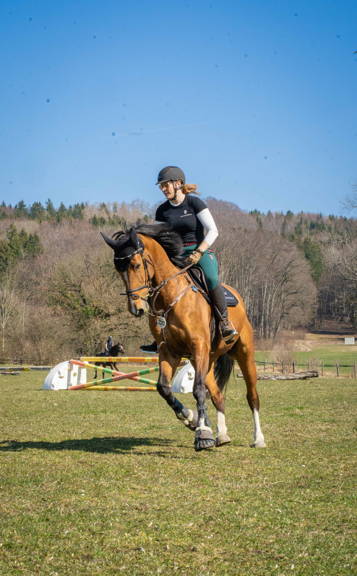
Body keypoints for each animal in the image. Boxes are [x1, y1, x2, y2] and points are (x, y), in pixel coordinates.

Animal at [100, 223, 264, 452]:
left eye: (136, 265)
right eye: (118, 270)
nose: (136, 308)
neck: (170, 296)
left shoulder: (198, 346)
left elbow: (197, 390)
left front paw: (203, 434)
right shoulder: (169, 351)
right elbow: (164, 388)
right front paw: (191, 419)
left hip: (243, 352)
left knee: (252, 396)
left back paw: (258, 438)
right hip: (206, 360)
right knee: (217, 395)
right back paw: (222, 435)